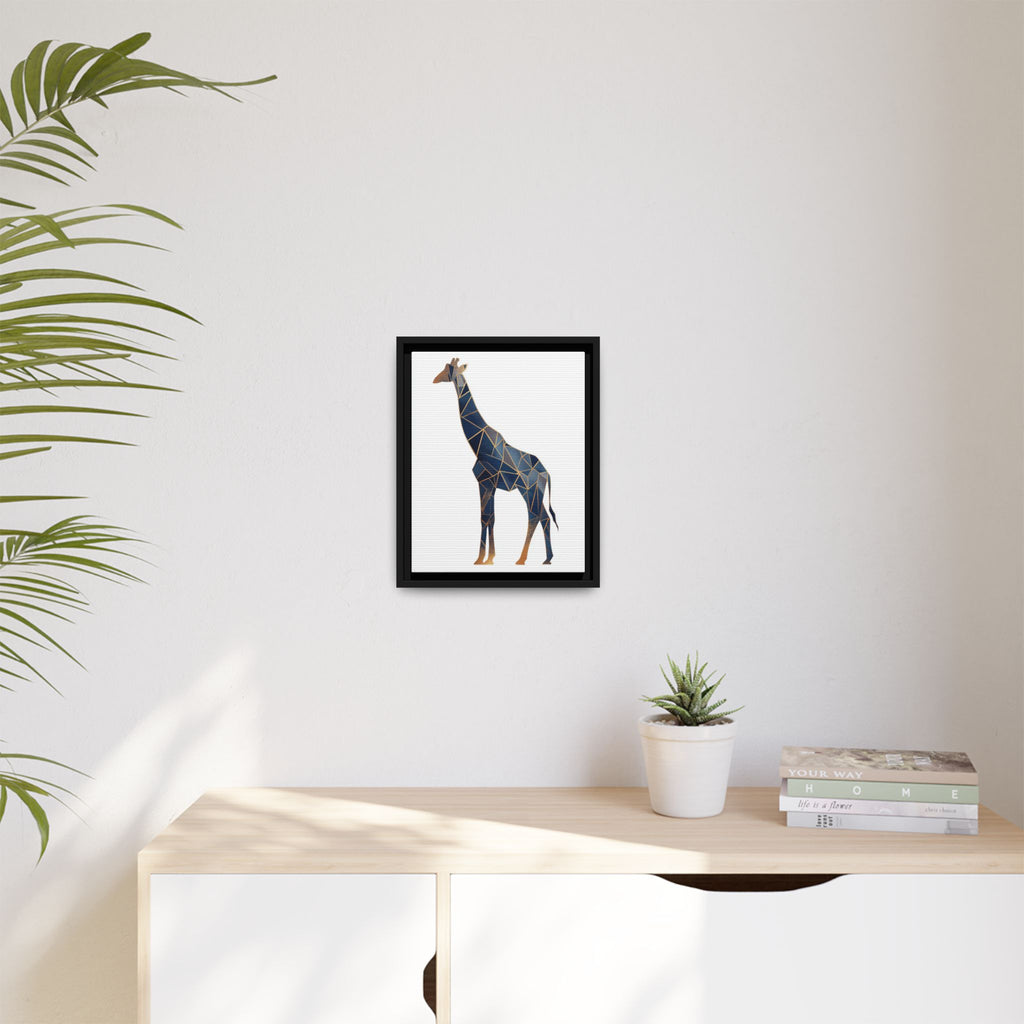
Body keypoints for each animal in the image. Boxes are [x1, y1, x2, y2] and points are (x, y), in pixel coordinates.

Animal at [433, 357, 558, 565]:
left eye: (448, 370)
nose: (435, 379)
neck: (479, 445)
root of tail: (546, 473)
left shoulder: (485, 482)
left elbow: (485, 518)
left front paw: (483, 559)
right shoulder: (488, 485)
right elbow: (490, 518)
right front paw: (487, 557)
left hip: (529, 490)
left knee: (535, 517)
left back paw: (522, 559)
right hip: (532, 491)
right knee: (543, 518)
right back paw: (547, 558)